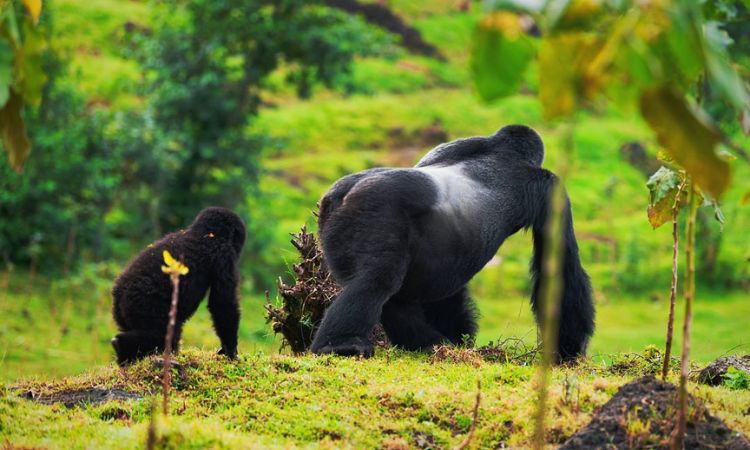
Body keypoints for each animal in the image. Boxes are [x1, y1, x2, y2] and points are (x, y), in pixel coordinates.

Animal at [111, 207, 247, 366]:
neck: (205, 234)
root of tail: (118, 297)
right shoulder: (224, 256)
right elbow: (223, 303)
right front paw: (231, 351)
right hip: (145, 306)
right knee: (162, 333)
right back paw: (122, 345)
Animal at [310, 124, 592, 362]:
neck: (503, 150)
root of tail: (339, 196)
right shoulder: (550, 188)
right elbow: (560, 269)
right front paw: (567, 350)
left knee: (393, 294)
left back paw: (425, 343)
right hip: (375, 210)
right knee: (377, 280)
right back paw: (343, 344)